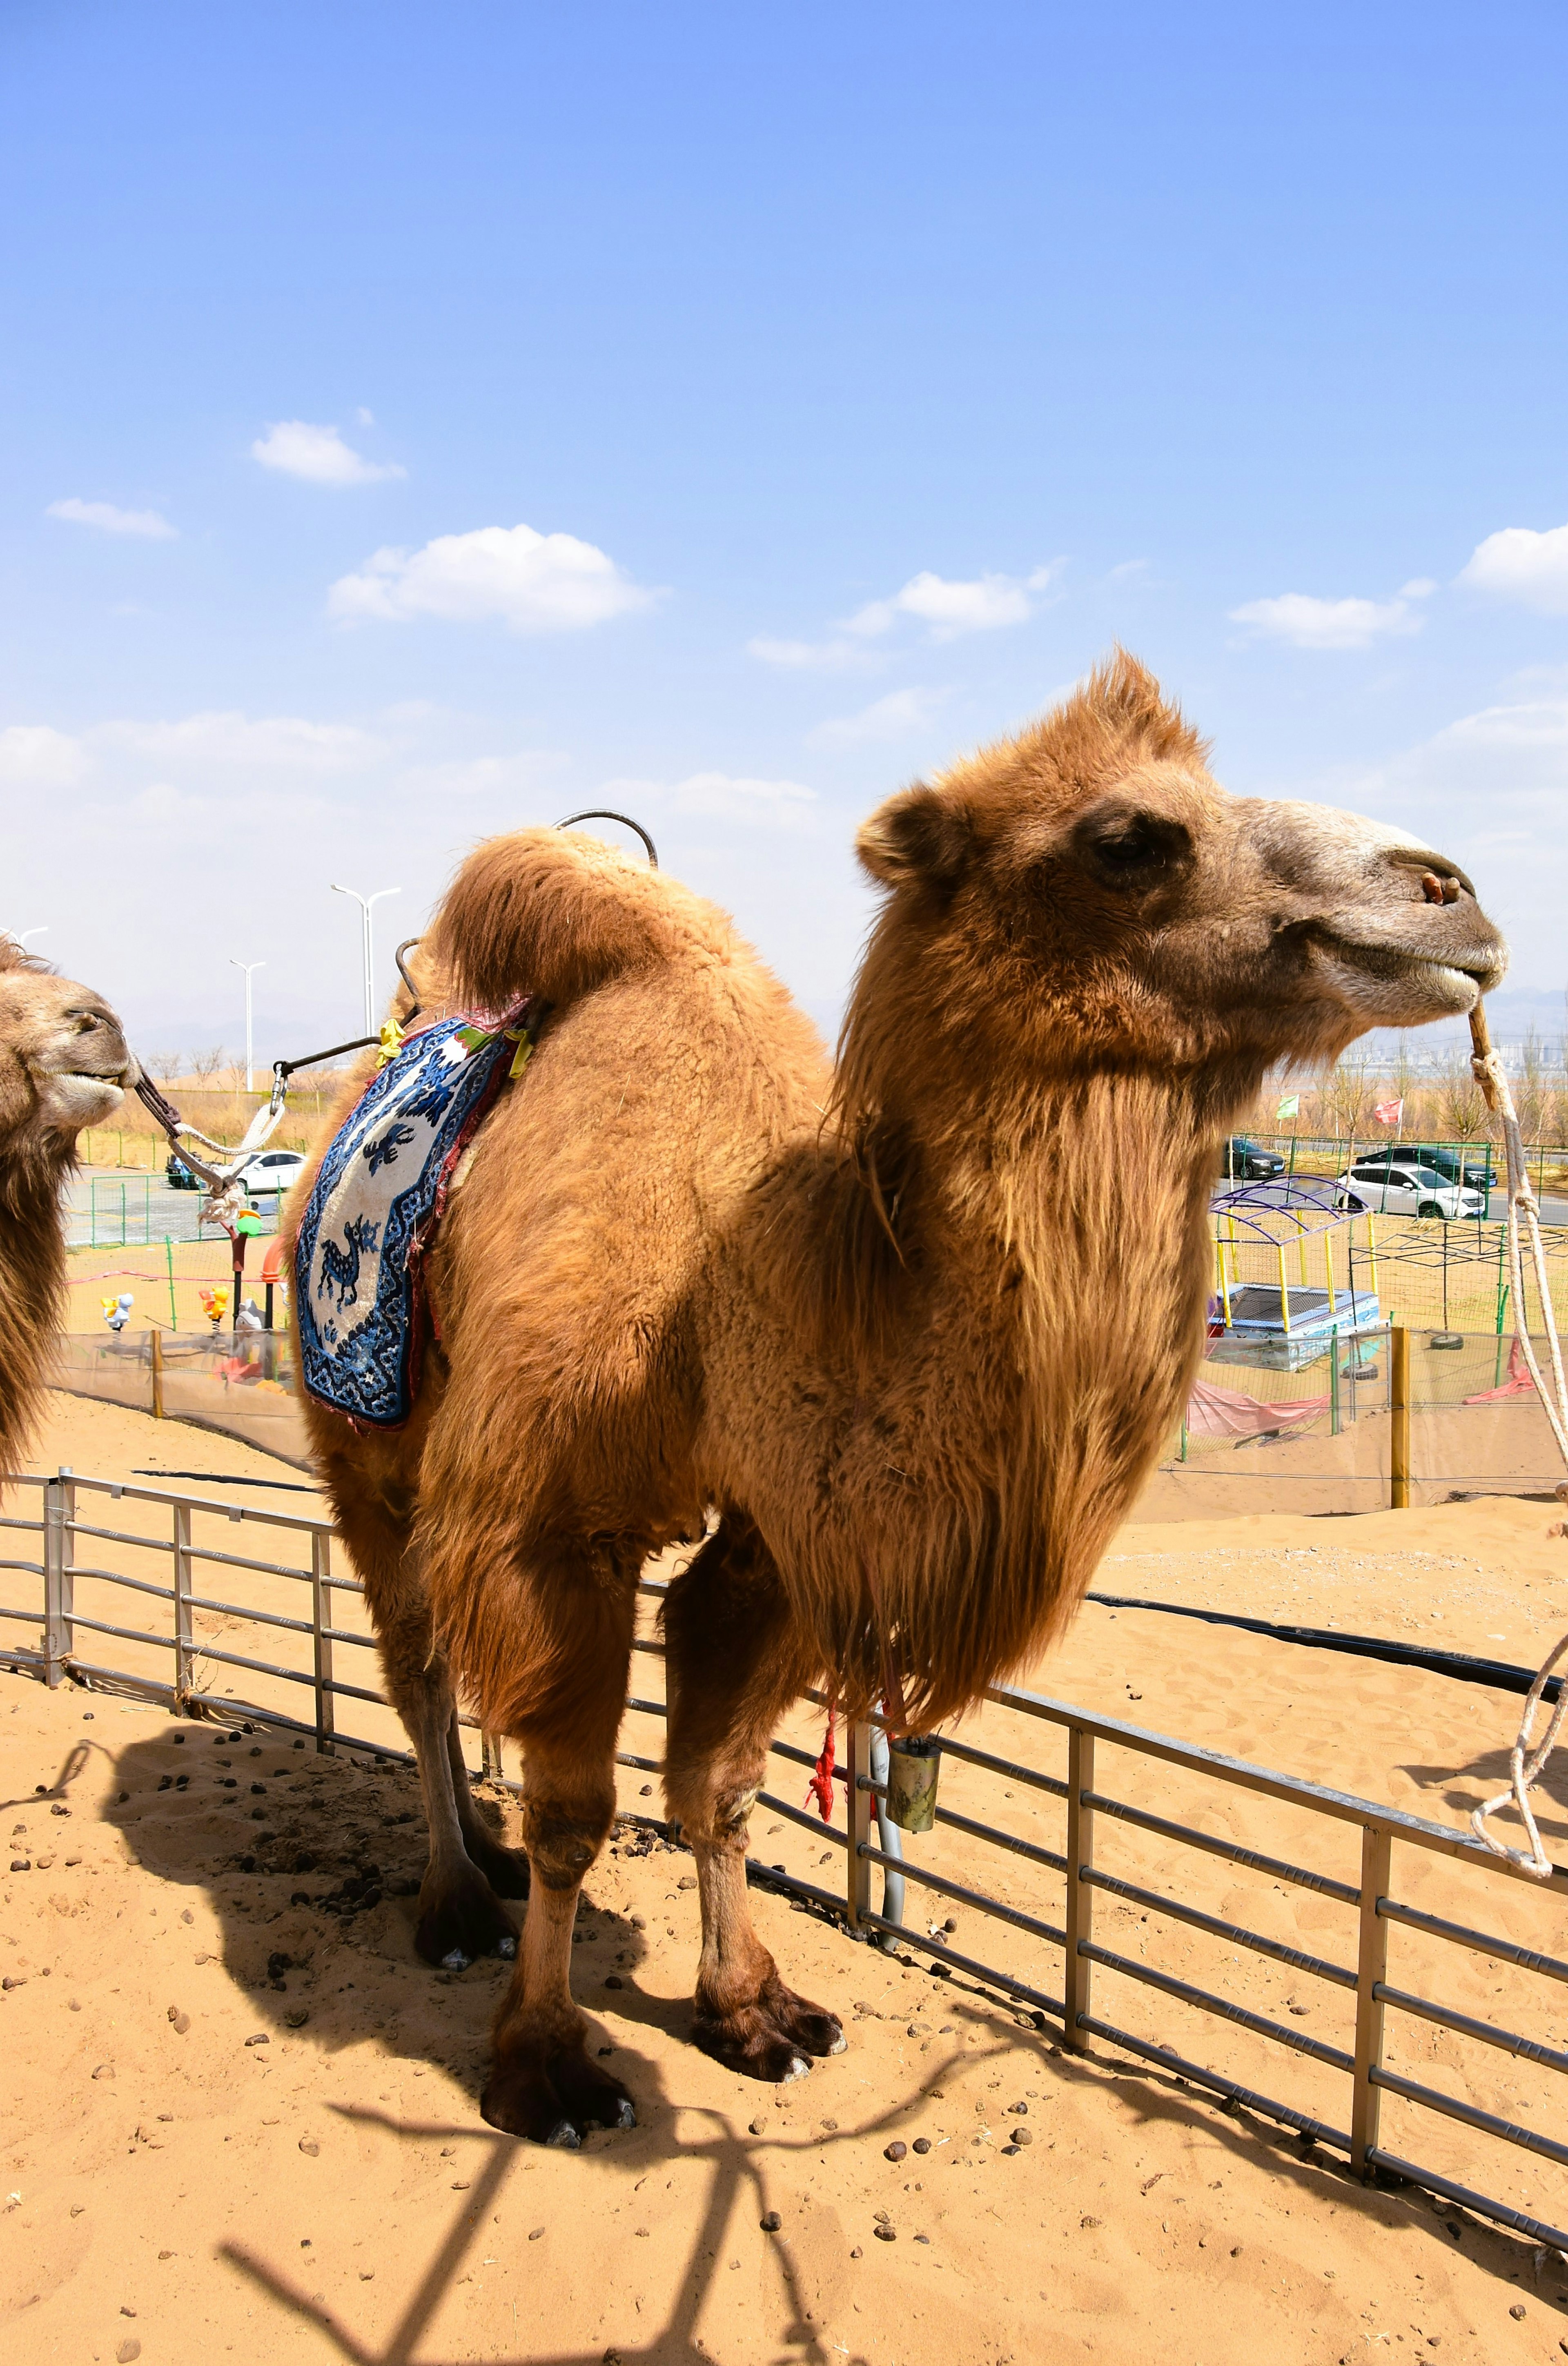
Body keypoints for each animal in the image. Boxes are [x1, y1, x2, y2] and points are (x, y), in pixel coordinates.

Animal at [291, 653, 1513, 2148]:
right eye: (1128, 838)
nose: (1451, 891)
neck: (735, 1281)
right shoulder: (546, 1522)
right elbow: (575, 1812)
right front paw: (548, 2062)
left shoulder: (782, 1538)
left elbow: (722, 1786)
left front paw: (752, 2008)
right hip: (363, 1440)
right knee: (412, 1660)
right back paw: (460, 1898)